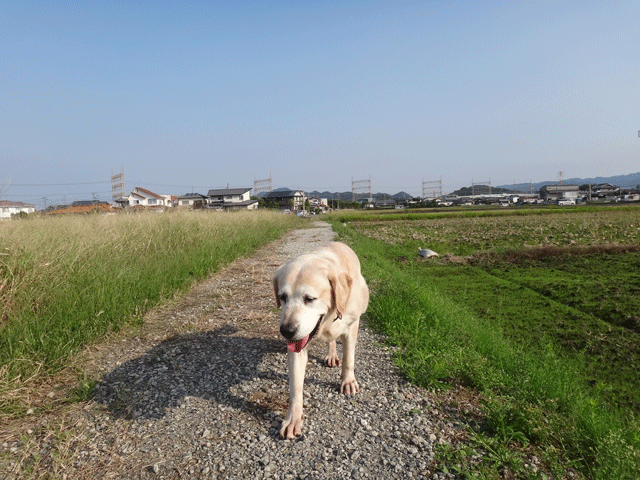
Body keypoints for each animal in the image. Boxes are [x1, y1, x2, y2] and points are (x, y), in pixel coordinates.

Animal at [272, 244, 370, 438]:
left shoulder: (352, 325)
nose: (286, 331)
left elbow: (349, 359)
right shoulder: (298, 347)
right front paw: (293, 418)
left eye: (310, 299)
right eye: (283, 297)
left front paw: (348, 381)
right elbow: (295, 386)